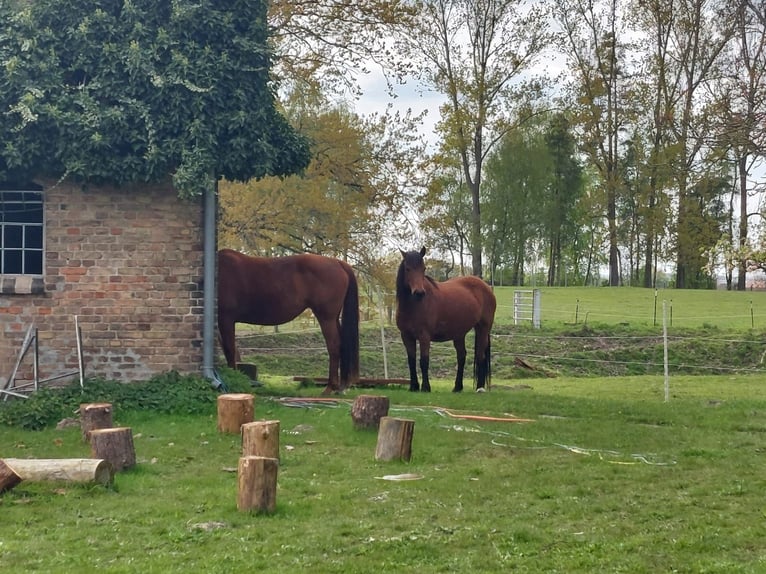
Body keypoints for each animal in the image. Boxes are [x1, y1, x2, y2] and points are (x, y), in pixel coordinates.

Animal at [216, 250, 360, 394]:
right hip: (333, 319)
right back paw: (341, 386)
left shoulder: (226, 319)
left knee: (334, 346)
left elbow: (229, 350)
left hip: (326, 318)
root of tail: (337, 262)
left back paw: (330, 387)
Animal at [396, 250, 498, 394]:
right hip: (460, 334)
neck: (413, 306)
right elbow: (411, 361)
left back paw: (480, 388)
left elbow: (424, 361)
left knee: (480, 356)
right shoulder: (406, 336)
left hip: (483, 329)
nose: (419, 292)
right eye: (408, 269)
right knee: (461, 357)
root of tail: (486, 286)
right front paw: (413, 387)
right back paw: (457, 387)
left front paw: (426, 387)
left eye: (423, 269)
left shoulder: (424, 336)